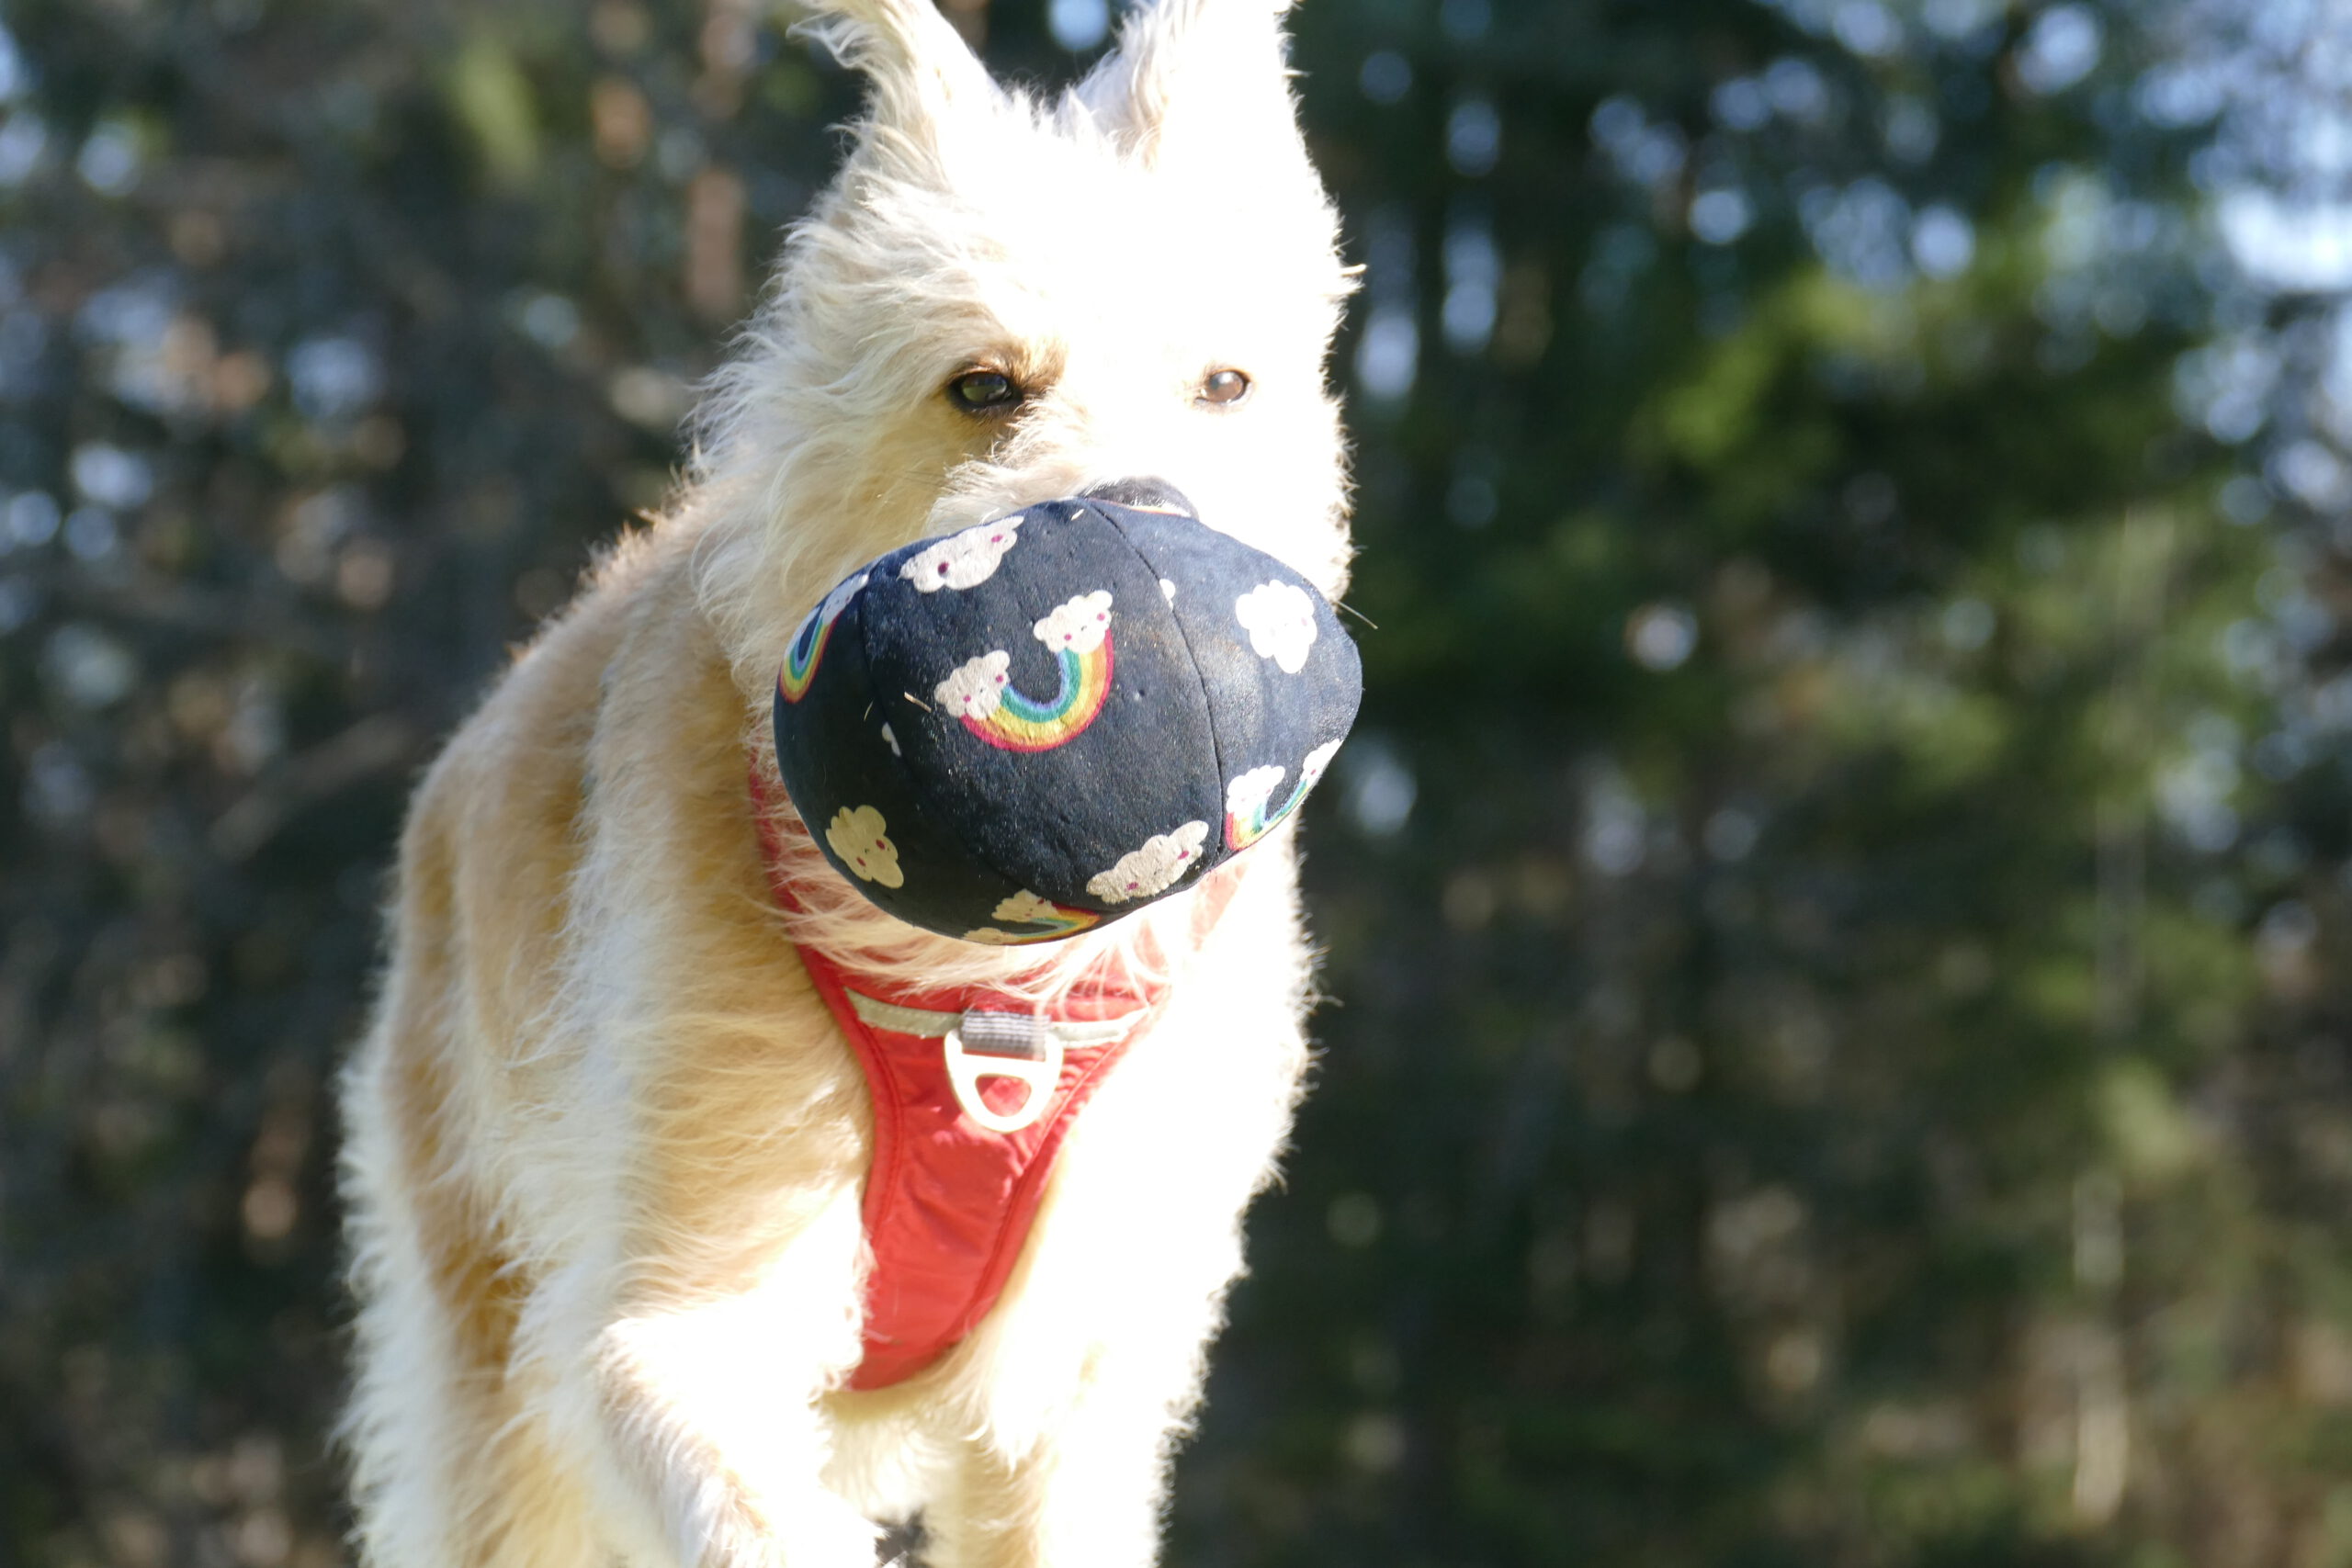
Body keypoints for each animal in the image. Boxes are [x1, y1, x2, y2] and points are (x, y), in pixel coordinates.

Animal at [336, 1, 1355, 1563]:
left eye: (1226, 385)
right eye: (985, 385)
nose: (1155, 535)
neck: (991, 993)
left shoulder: (1078, 1385)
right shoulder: (669, 1315)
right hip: (490, 1364)